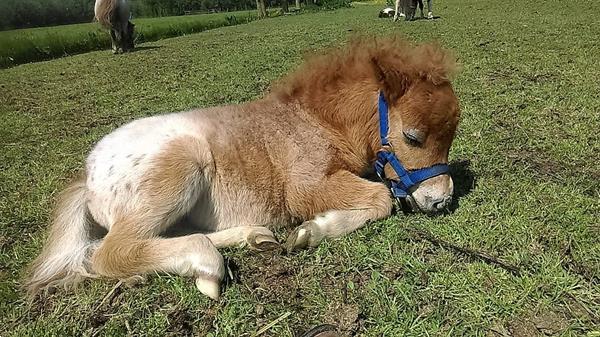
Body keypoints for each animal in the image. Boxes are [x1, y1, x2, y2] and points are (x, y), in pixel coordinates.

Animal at [25, 36, 462, 300]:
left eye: (451, 136)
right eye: (413, 137)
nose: (441, 201)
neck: (315, 121)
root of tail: (87, 177)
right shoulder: (305, 186)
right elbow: (380, 198)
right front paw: (310, 231)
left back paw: (253, 237)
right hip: (180, 168)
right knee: (109, 252)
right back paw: (207, 265)